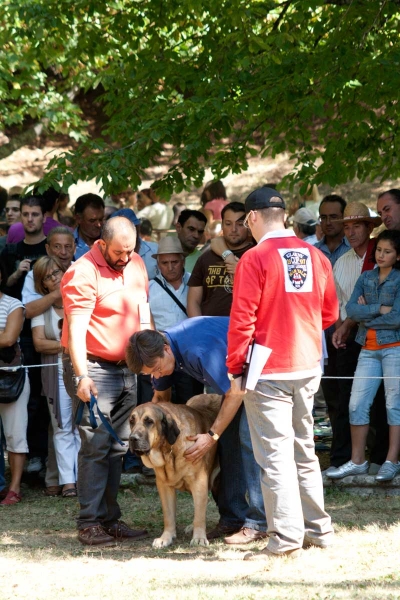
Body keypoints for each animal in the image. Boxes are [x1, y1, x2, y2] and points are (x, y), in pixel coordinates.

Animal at [129, 394, 220, 548]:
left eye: (149, 421)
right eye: (131, 421)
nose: (132, 438)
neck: (168, 451)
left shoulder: (199, 481)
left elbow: (199, 515)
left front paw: (199, 538)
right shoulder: (164, 486)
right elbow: (169, 515)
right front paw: (166, 538)